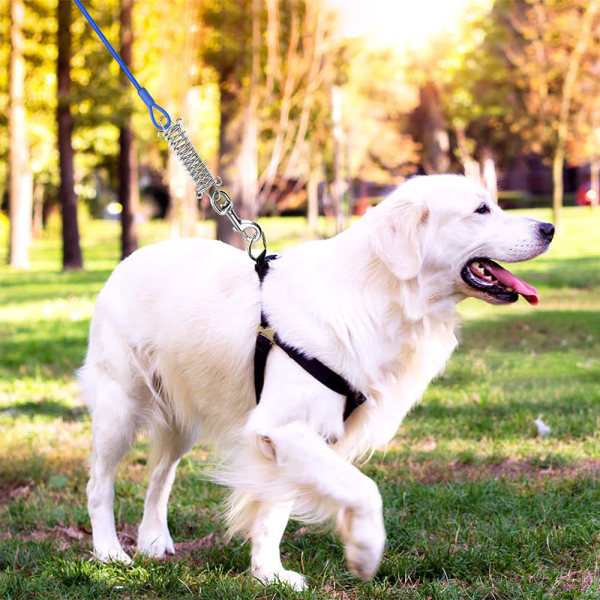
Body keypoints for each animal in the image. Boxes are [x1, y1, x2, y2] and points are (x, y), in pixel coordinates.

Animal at [79, 175, 552, 592]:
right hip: (120, 406)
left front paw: (268, 573)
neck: (379, 297)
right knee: (99, 484)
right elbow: (364, 490)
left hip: (180, 419)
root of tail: (128, 260)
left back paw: (154, 539)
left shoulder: (295, 438)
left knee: (160, 476)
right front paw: (364, 551)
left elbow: (274, 514)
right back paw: (110, 552)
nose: (549, 228)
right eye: (481, 209)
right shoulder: (283, 426)